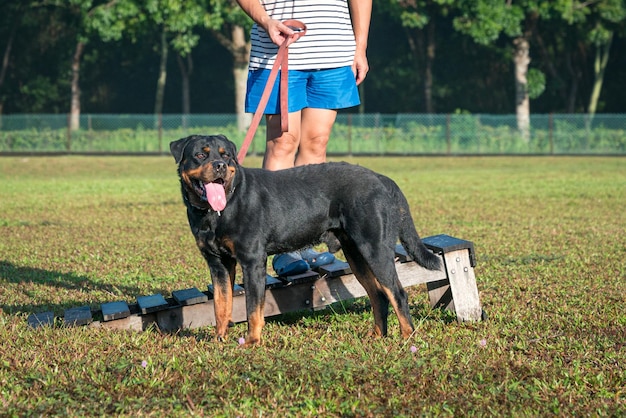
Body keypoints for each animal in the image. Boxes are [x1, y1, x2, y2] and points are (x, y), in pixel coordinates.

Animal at [171, 134, 442, 346]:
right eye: (200, 155)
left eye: (225, 155)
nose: (219, 166)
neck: (216, 211)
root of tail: (380, 177)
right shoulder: (218, 264)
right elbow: (221, 303)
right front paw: (219, 339)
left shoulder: (252, 261)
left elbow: (253, 308)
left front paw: (252, 341)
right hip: (356, 254)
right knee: (379, 295)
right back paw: (377, 336)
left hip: (375, 249)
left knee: (397, 293)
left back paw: (406, 338)